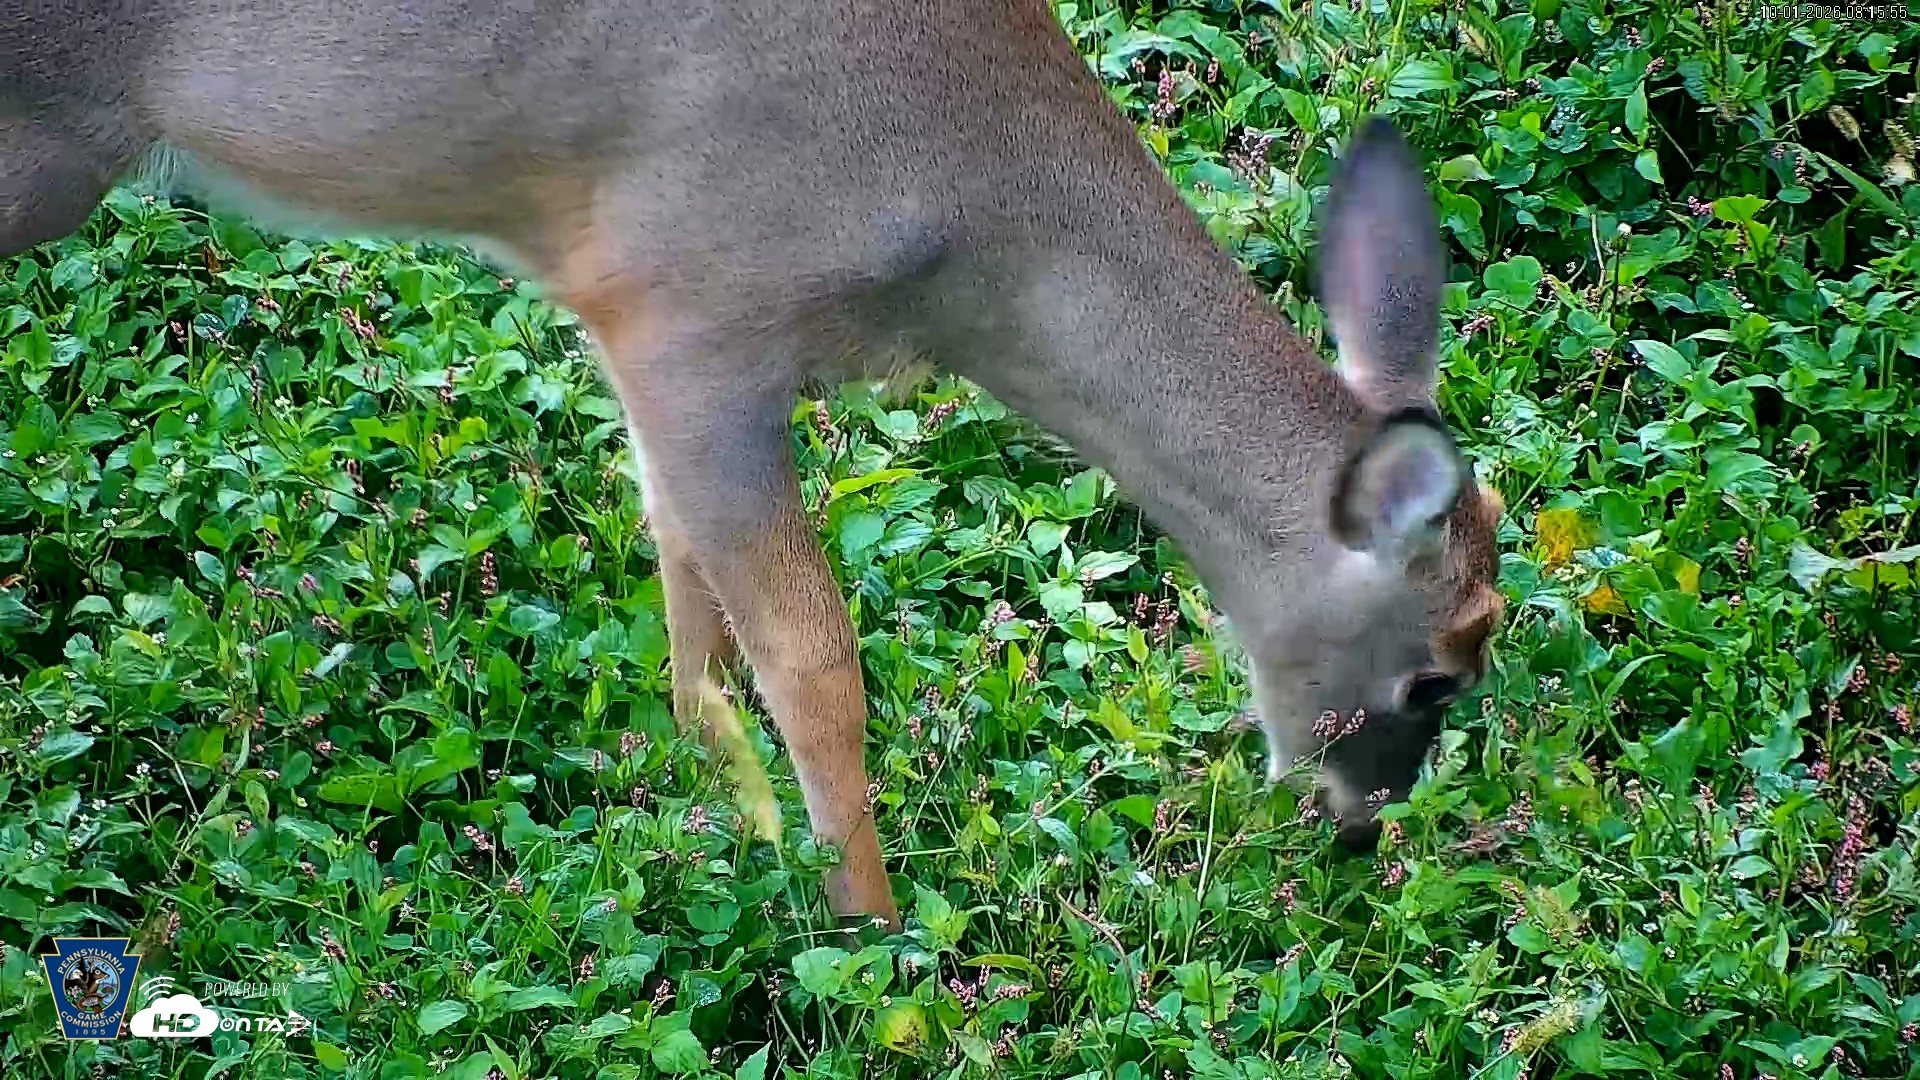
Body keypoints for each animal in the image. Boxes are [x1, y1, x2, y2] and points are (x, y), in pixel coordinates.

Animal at [5, 0, 1505, 929]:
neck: (962, 226)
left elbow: (677, 555)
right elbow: (815, 660)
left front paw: (713, 788)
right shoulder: (690, 310)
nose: (1362, 827)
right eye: (1439, 672)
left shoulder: (651, 340)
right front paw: (873, 930)